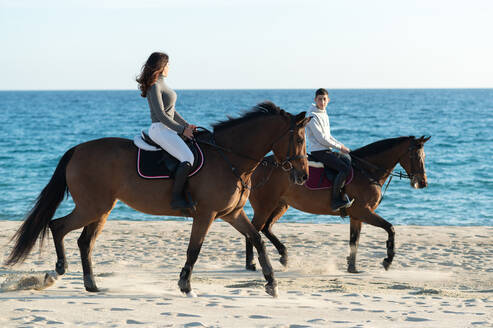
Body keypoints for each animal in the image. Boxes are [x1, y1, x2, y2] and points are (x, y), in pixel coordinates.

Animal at [5, 102, 310, 298]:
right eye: (299, 139)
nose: (303, 175)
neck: (229, 157)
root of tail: (77, 149)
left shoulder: (231, 213)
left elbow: (257, 239)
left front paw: (272, 284)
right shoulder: (206, 214)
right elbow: (194, 250)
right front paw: (186, 286)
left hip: (102, 210)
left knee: (84, 241)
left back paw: (91, 285)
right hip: (92, 207)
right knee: (58, 226)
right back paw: (57, 271)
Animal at [244, 135, 428, 272]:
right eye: (416, 156)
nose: (423, 183)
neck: (367, 172)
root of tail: (257, 165)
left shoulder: (356, 216)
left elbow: (354, 241)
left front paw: (352, 267)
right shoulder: (363, 212)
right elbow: (390, 228)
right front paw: (387, 260)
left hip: (280, 204)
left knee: (265, 228)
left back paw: (284, 256)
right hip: (265, 206)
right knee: (253, 230)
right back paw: (251, 264)